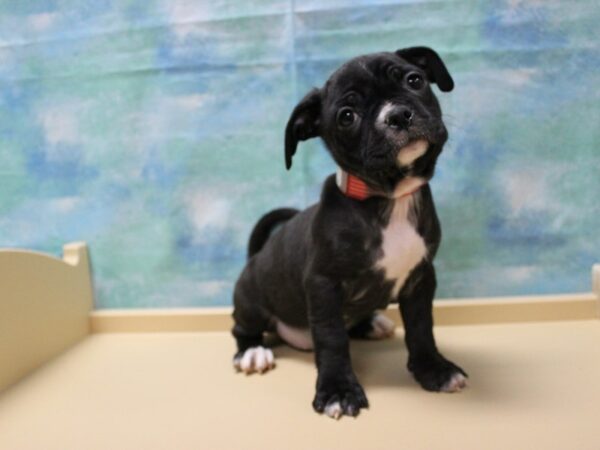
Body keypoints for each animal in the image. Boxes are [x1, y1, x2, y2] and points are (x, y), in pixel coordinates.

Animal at [232, 46, 466, 418]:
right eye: (347, 116)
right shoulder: (324, 285)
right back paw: (253, 351)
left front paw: (434, 370)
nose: (397, 115)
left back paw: (371, 323)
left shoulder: (420, 278)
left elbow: (421, 328)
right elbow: (332, 340)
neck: (388, 198)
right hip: (252, 300)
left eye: (414, 80)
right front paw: (338, 390)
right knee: (243, 328)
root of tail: (255, 256)